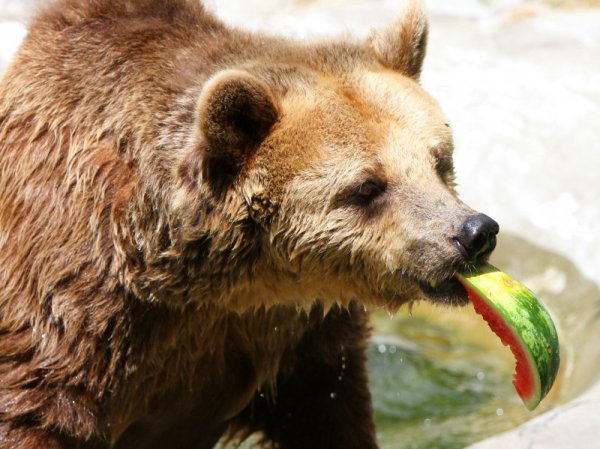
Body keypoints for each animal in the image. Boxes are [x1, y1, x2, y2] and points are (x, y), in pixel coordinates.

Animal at [0, 0, 500, 448]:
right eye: (368, 187)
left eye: (440, 161)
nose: (473, 233)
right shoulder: (71, 311)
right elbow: (37, 409)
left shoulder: (294, 338)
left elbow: (330, 412)